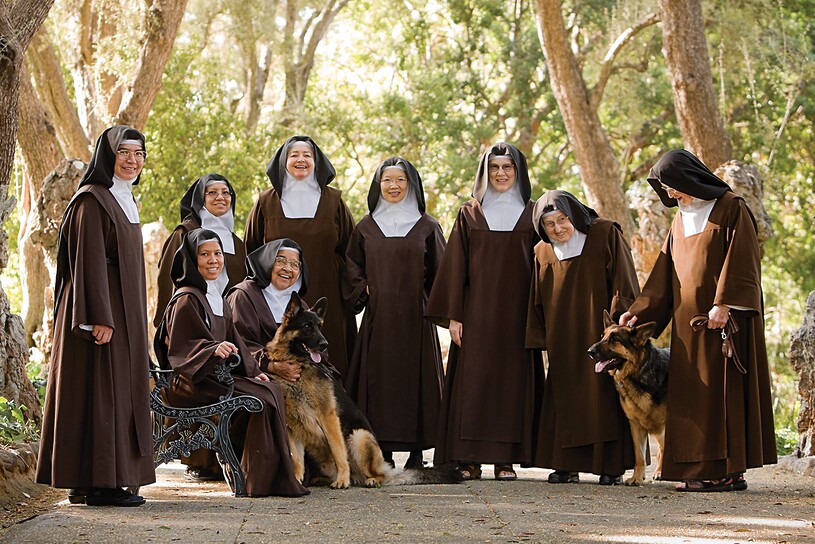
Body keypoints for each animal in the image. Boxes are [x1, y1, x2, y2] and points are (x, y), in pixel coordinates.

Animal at [266, 294, 462, 488]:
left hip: (359, 437)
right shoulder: (292, 427)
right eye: (307, 326)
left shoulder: (328, 418)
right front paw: (296, 480)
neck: (299, 365)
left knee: (377, 474)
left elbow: (339, 452)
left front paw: (342, 481)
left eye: (320, 327)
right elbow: (296, 459)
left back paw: (367, 479)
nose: (325, 344)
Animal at [592, 310, 668, 484]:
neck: (639, 374)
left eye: (615, 339)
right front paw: (636, 478)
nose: (589, 351)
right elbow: (639, 456)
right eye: (602, 336)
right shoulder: (635, 425)